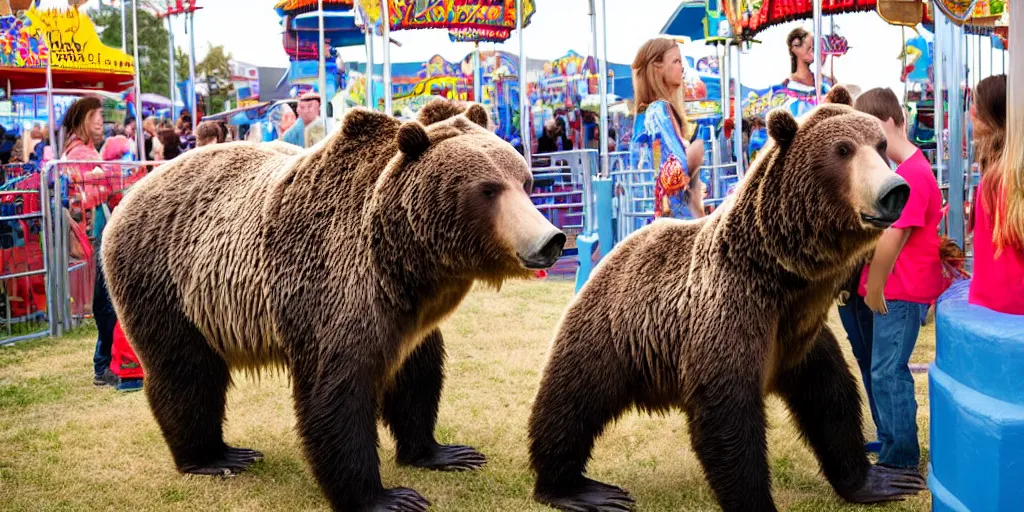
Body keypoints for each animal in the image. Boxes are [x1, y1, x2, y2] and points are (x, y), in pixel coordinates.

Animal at [101, 99, 569, 512]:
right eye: (487, 189)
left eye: (524, 180)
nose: (550, 240)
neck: (406, 262)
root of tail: (133, 191)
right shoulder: (333, 288)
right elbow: (336, 396)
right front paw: (385, 497)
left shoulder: (409, 317)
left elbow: (417, 377)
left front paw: (442, 451)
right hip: (166, 282)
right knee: (186, 370)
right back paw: (213, 457)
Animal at [528, 86, 929, 509]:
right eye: (843, 149)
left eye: (879, 143)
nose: (894, 191)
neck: (782, 278)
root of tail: (615, 249)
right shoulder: (731, 313)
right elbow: (728, 418)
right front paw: (756, 500)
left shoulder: (800, 337)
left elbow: (832, 402)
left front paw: (882, 479)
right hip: (609, 333)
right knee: (569, 404)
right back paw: (575, 488)